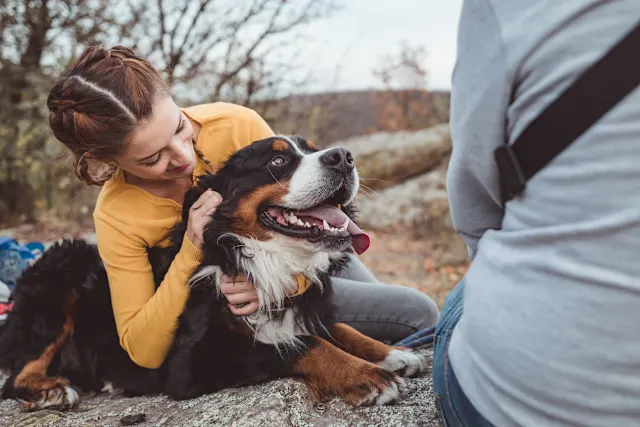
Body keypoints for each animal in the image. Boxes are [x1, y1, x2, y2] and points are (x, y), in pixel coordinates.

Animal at [1, 136, 430, 412]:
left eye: (314, 149)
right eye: (277, 161)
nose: (343, 156)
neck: (254, 255)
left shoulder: (304, 304)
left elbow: (336, 327)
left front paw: (393, 354)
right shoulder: (192, 363)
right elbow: (300, 344)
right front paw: (367, 376)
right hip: (66, 263)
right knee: (14, 377)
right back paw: (51, 392)